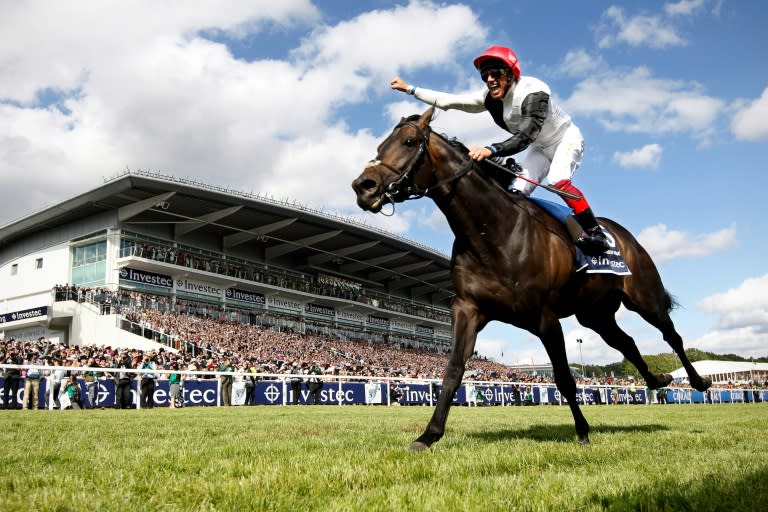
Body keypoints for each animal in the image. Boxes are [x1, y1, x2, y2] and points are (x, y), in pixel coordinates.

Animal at [352, 105, 712, 452]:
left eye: (409, 142)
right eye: (380, 146)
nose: (362, 186)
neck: (492, 232)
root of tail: (623, 235)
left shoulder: (544, 317)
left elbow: (564, 377)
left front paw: (583, 432)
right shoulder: (468, 308)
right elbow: (453, 370)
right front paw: (428, 435)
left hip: (643, 297)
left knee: (671, 336)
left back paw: (698, 381)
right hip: (595, 314)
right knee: (627, 342)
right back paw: (657, 380)